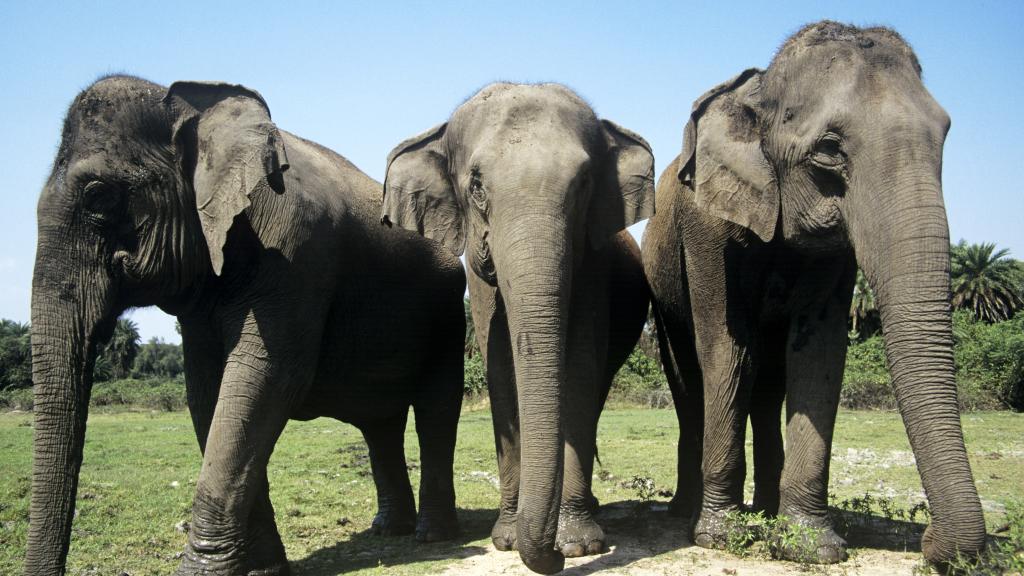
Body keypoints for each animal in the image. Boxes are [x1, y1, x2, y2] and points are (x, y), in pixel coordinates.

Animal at [27, 75, 467, 575]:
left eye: (98, 196)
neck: (192, 108)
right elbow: (208, 392)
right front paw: (263, 568)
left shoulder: (296, 255)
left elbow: (267, 380)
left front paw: (206, 572)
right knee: (380, 425)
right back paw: (388, 531)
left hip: (448, 315)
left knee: (435, 410)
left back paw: (431, 536)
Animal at [381, 82, 652, 574]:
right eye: (476, 185)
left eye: (584, 184)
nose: (555, 559)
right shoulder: (477, 280)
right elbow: (501, 371)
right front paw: (508, 539)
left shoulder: (593, 264)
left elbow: (579, 368)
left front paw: (578, 545)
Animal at [642, 21, 986, 567]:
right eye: (828, 149)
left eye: (946, 134)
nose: (933, 545)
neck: (761, 90)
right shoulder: (706, 228)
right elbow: (727, 351)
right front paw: (721, 537)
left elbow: (818, 356)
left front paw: (811, 547)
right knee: (690, 377)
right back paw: (687, 513)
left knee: (769, 384)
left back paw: (764, 510)